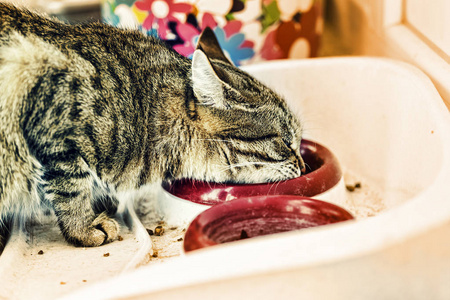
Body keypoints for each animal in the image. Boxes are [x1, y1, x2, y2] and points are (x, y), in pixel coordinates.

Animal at [0, 3, 306, 252]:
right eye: (285, 141)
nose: (303, 166)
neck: (143, 110)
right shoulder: (54, 128)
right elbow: (71, 188)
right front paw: (83, 228)